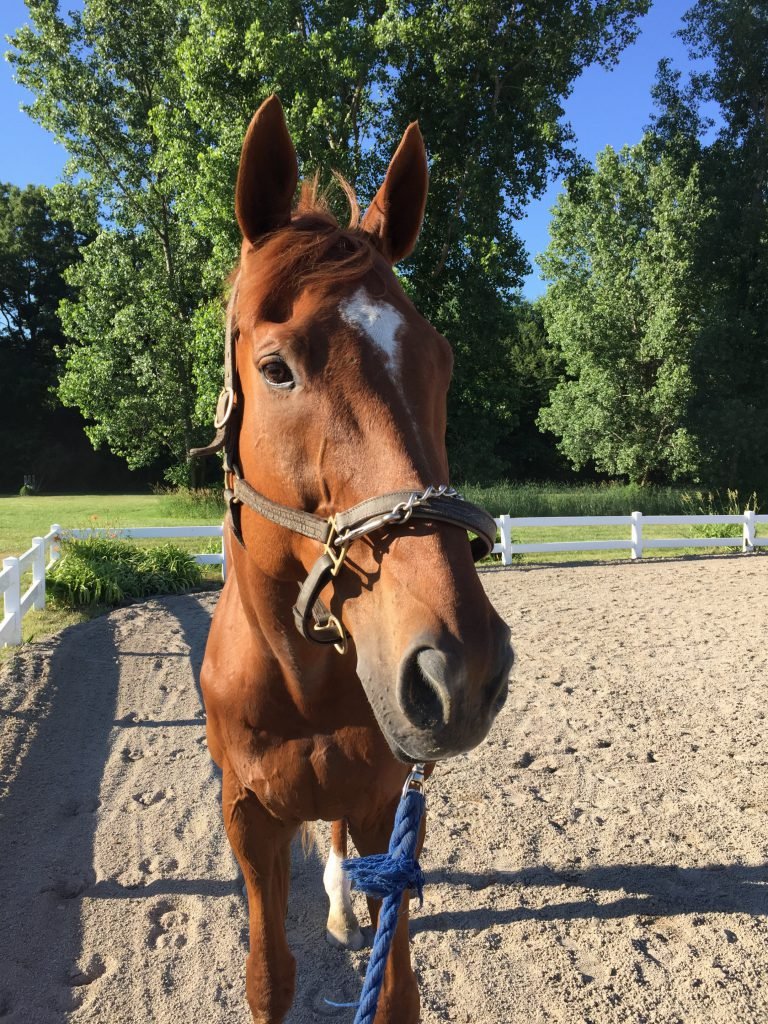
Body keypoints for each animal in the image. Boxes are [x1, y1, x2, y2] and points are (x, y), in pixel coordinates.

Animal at [195, 96, 514, 1024]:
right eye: (276, 369)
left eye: (441, 362)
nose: (459, 669)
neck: (299, 685)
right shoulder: (248, 820)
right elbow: (270, 976)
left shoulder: (386, 808)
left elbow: (395, 986)